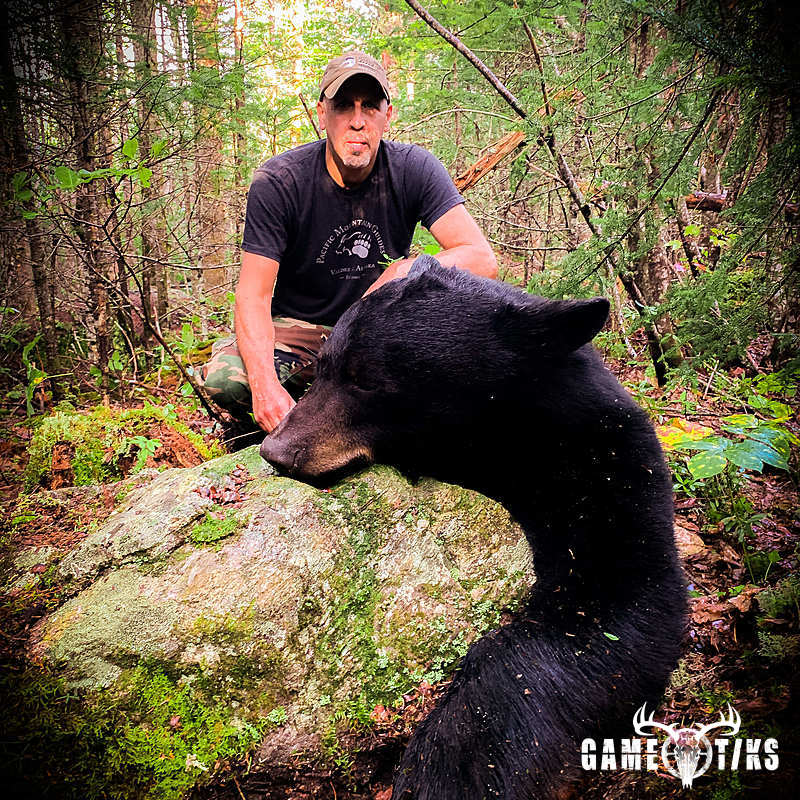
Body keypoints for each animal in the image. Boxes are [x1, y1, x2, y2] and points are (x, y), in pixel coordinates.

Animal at [260, 255, 686, 799]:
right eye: (324, 368)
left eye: (367, 381)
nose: (277, 450)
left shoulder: (616, 480)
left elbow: (614, 614)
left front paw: (449, 767)